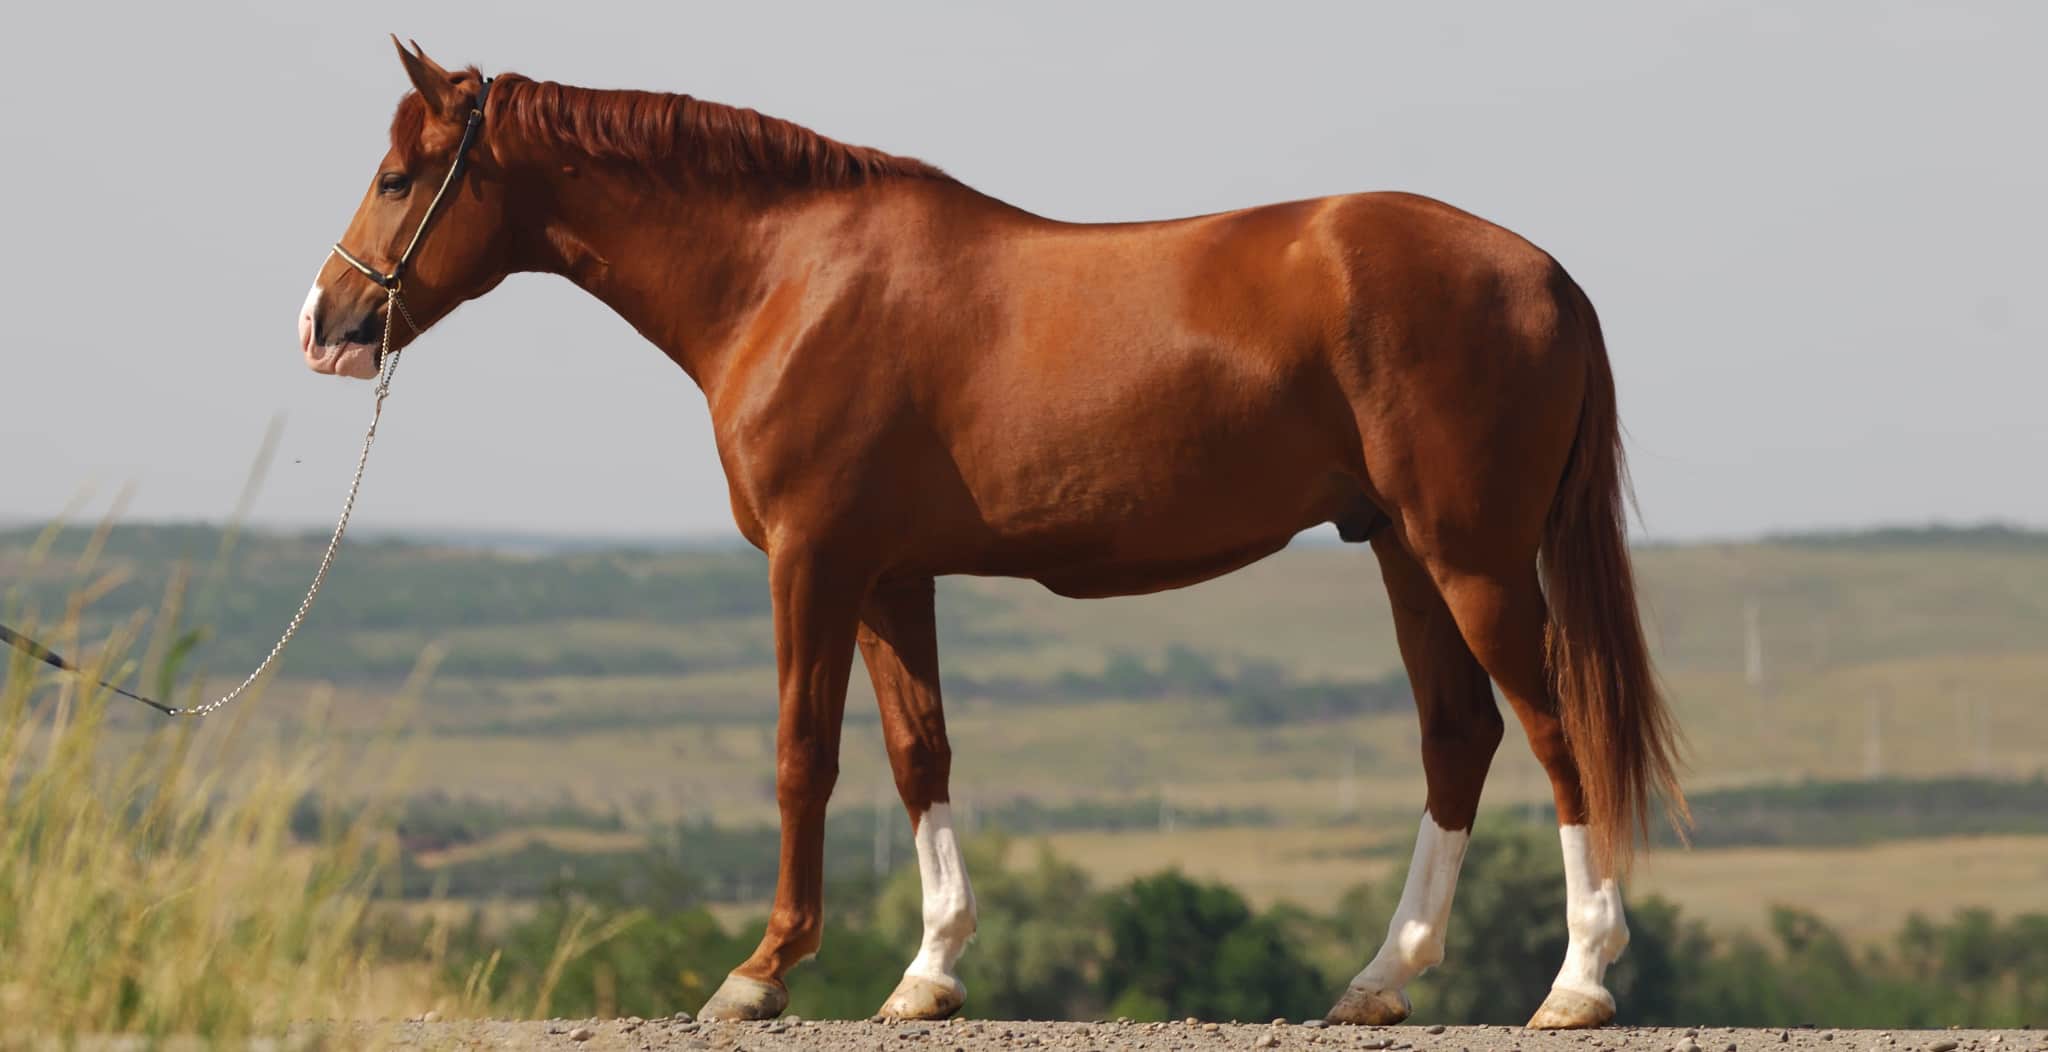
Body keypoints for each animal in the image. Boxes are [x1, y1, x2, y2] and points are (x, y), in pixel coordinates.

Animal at [303, 40, 1679, 1023]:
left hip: (1471, 557)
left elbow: (804, 755)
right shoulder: (890, 575)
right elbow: (920, 755)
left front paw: (760, 971)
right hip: (1399, 548)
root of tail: (1545, 273)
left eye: (396, 177)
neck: (787, 278)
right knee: (1458, 734)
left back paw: (1577, 982)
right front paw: (926, 971)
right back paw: (1379, 978)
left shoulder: (813, 560)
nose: (324, 325)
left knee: (1555, 730)